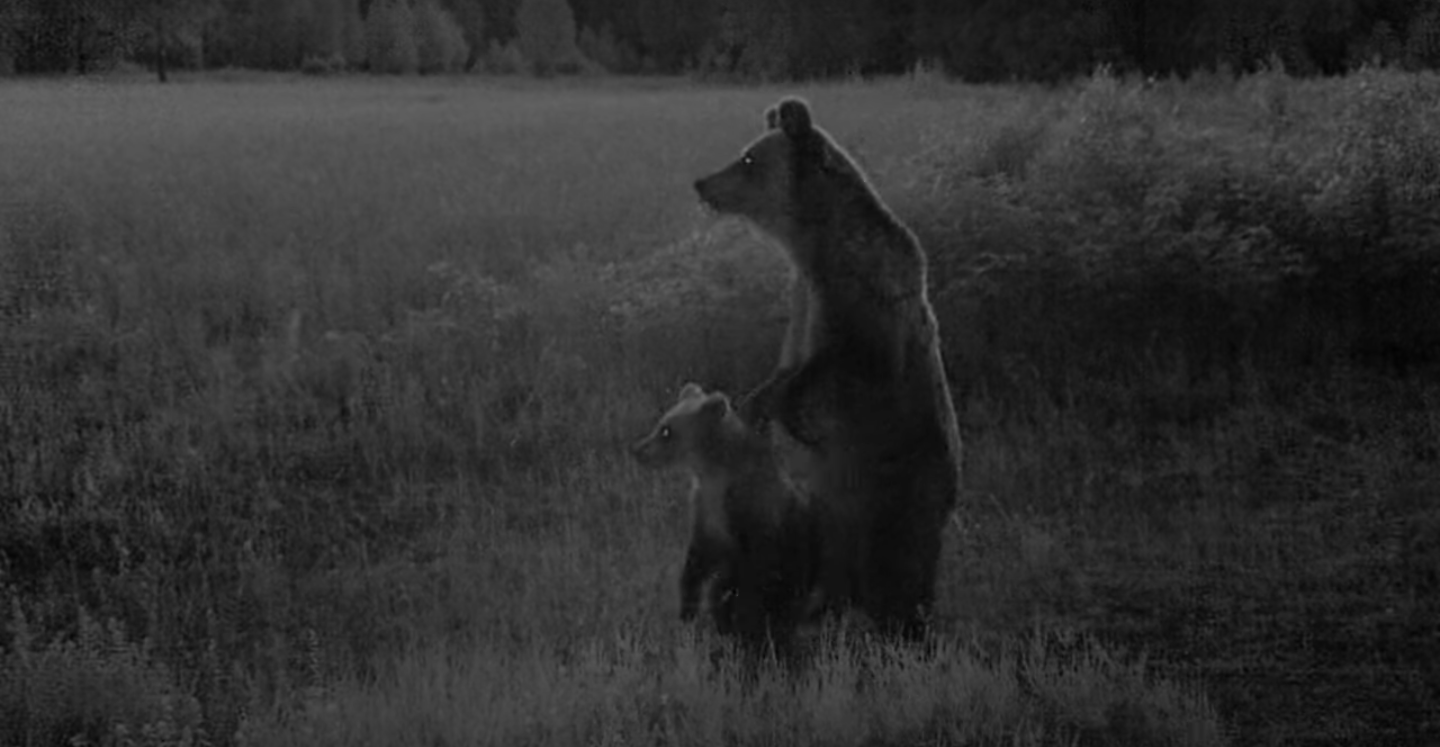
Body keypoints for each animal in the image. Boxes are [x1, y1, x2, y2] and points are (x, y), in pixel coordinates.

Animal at [633, 382, 823, 659]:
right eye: (661, 423)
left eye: (666, 431)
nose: (637, 450)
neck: (714, 473)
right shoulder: (705, 510)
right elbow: (697, 561)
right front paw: (688, 608)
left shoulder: (751, 518)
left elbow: (746, 577)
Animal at [691, 96, 961, 639]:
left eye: (748, 159)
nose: (702, 183)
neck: (813, 246)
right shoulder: (804, 302)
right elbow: (785, 366)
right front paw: (755, 401)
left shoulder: (862, 307)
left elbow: (844, 365)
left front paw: (780, 409)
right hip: (825, 513)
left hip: (899, 493)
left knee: (901, 571)